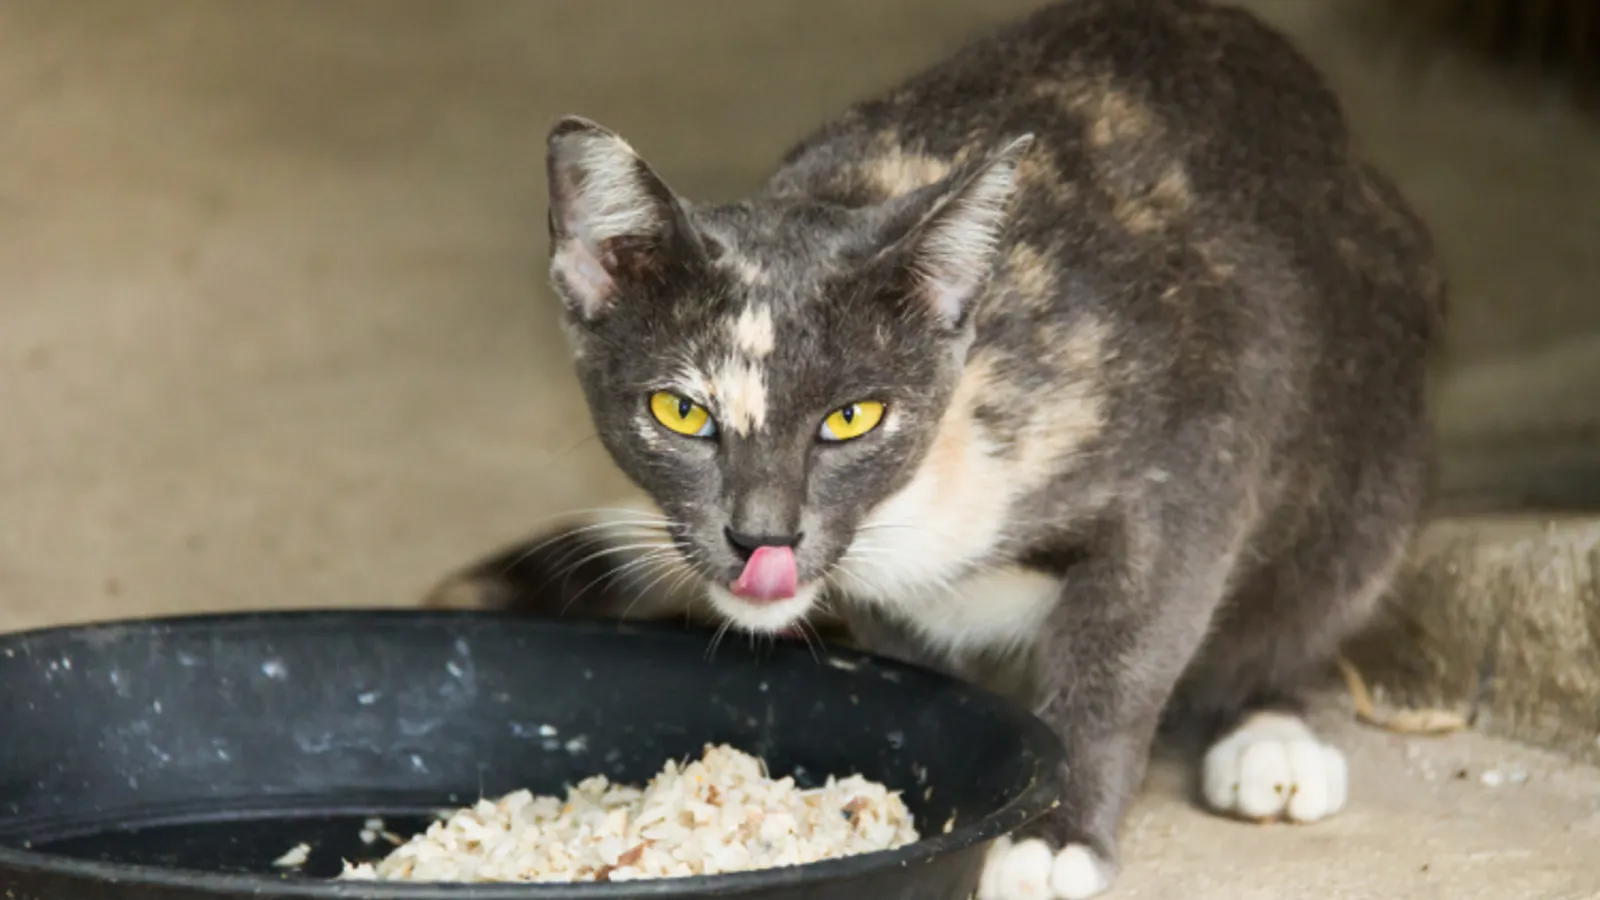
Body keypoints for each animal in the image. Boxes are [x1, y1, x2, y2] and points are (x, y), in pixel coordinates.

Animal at [419, 3, 1446, 890]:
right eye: (680, 413)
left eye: (852, 418)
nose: (762, 536)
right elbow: (911, 667)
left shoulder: (1198, 443)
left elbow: (1127, 643)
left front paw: (1056, 835)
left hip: (1371, 445)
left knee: (1313, 586)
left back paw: (1271, 734)